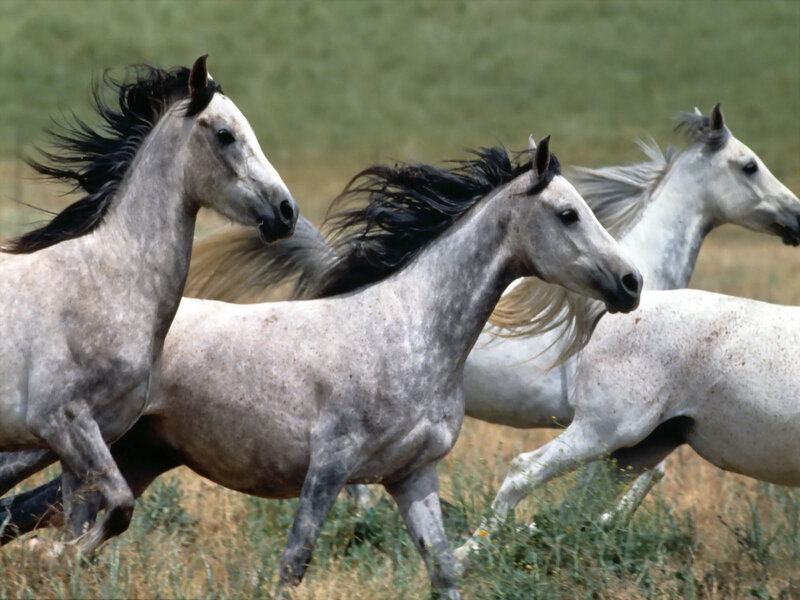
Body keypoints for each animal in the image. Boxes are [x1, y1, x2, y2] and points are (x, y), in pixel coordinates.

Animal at [0, 55, 297, 554]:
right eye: (225, 134)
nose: (286, 212)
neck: (108, 282)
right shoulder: (65, 422)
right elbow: (119, 506)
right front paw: (51, 555)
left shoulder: (89, 439)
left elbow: (87, 516)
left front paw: (61, 556)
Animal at [0, 137, 643, 599]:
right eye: (568, 213)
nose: (632, 283)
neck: (406, 333)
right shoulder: (330, 466)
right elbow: (294, 564)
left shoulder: (413, 476)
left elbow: (443, 573)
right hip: (54, 440)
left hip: (136, 457)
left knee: (27, 511)